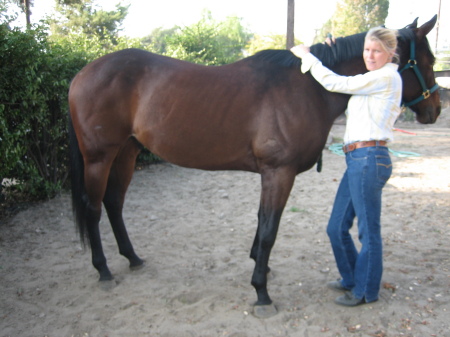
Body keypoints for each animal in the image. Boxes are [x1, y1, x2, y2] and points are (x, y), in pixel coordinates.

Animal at [67, 15, 440, 316]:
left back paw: (132, 258)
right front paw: (261, 292)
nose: (435, 109)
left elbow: (262, 223)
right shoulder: (279, 172)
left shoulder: (271, 174)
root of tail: (82, 74)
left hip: (127, 152)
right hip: (100, 157)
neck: (308, 88)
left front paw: (259, 267)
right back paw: (103, 270)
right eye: (429, 59)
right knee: (94, 209)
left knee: (114, 204)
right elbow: (270, 229)